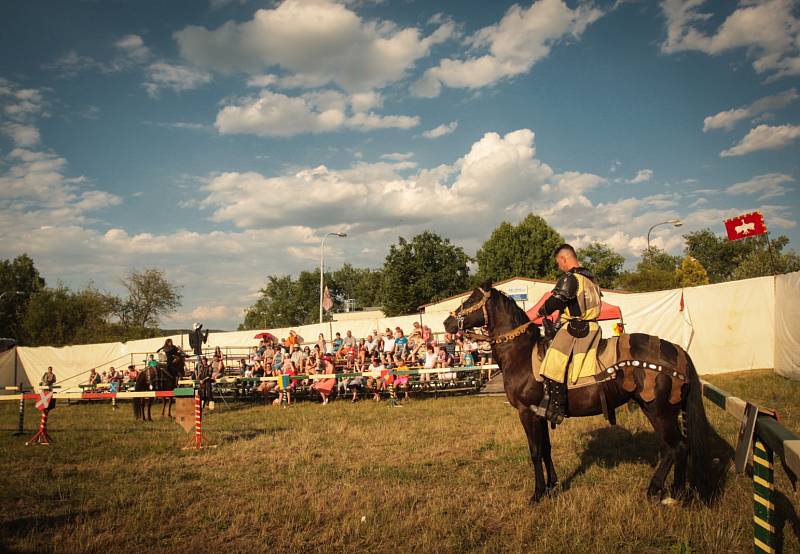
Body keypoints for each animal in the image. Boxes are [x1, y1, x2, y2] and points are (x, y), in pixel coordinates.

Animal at [444, 282, 712, 502]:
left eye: (470, 299)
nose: (447, 323)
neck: (521, 354)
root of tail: (678, 351)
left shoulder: (527, 413)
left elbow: (535, 451)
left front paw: (538, 493)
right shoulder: (541, 414)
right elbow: (546, 449)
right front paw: (552, 486)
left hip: (658, 411)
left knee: (677, 447)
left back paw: (663, 491)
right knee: (675, 448)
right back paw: (672, 490)